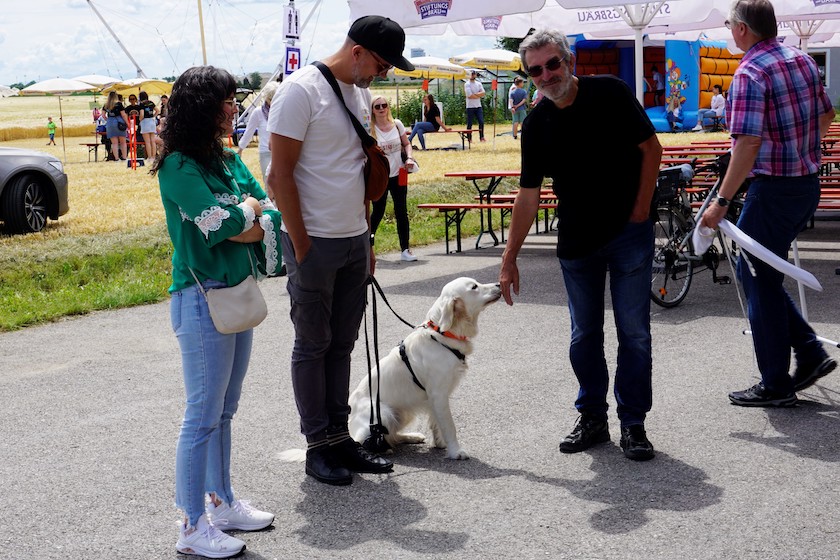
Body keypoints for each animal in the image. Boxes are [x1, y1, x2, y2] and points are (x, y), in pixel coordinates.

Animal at [349, 277, 501, 460]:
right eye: (474, 287)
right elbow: (449, 426)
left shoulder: (435, 398)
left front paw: (440, 443)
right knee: (365, 440)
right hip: (383, 413)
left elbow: (436, 422)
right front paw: (455, 451)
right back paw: (383, 448)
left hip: (403, 413)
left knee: (393, 436)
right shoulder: (438, 394)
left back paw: (411, 437)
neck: (442, 335)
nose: (499, 284)